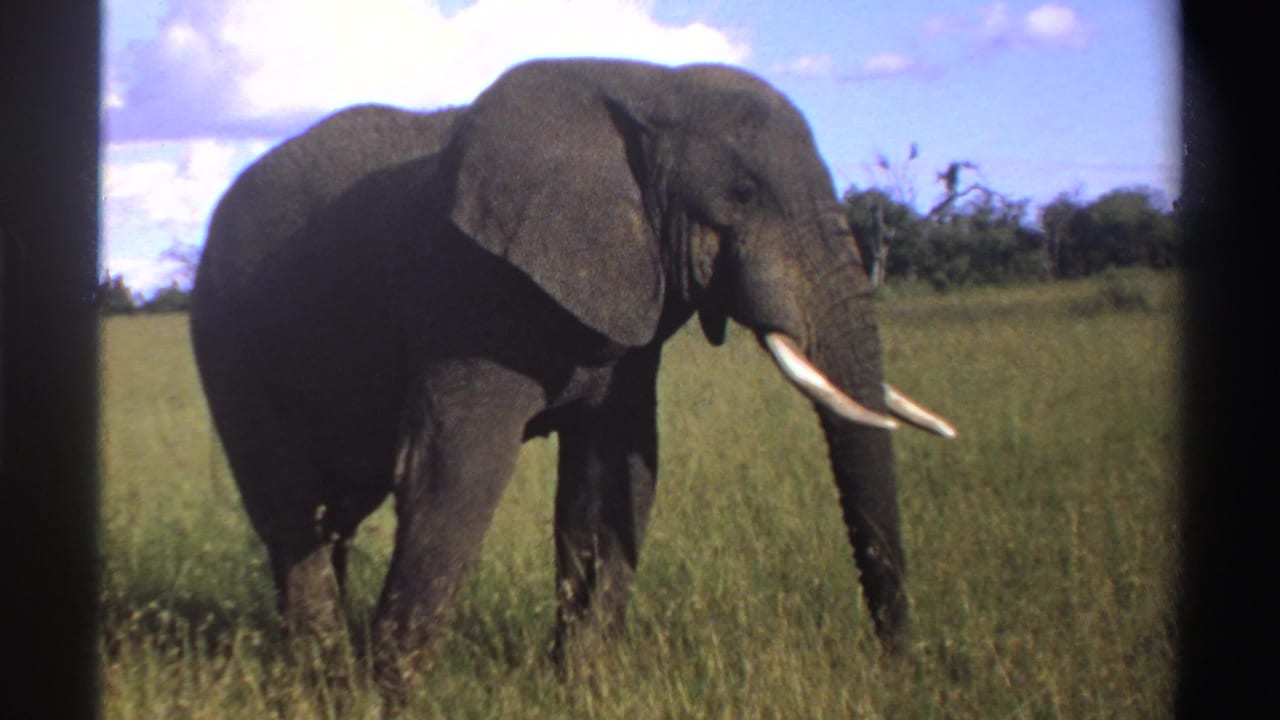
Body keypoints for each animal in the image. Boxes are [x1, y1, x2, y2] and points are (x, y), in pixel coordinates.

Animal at [191, 58, 955, 692]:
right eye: (742, 193)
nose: (899, 666)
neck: (651, 89)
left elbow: (613, 478)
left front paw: (582, 689)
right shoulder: (465, 298)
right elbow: (454, 473)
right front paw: (386, 699)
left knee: (336, 513)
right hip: (228, 338)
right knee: (291, 507)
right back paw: (321, 676)